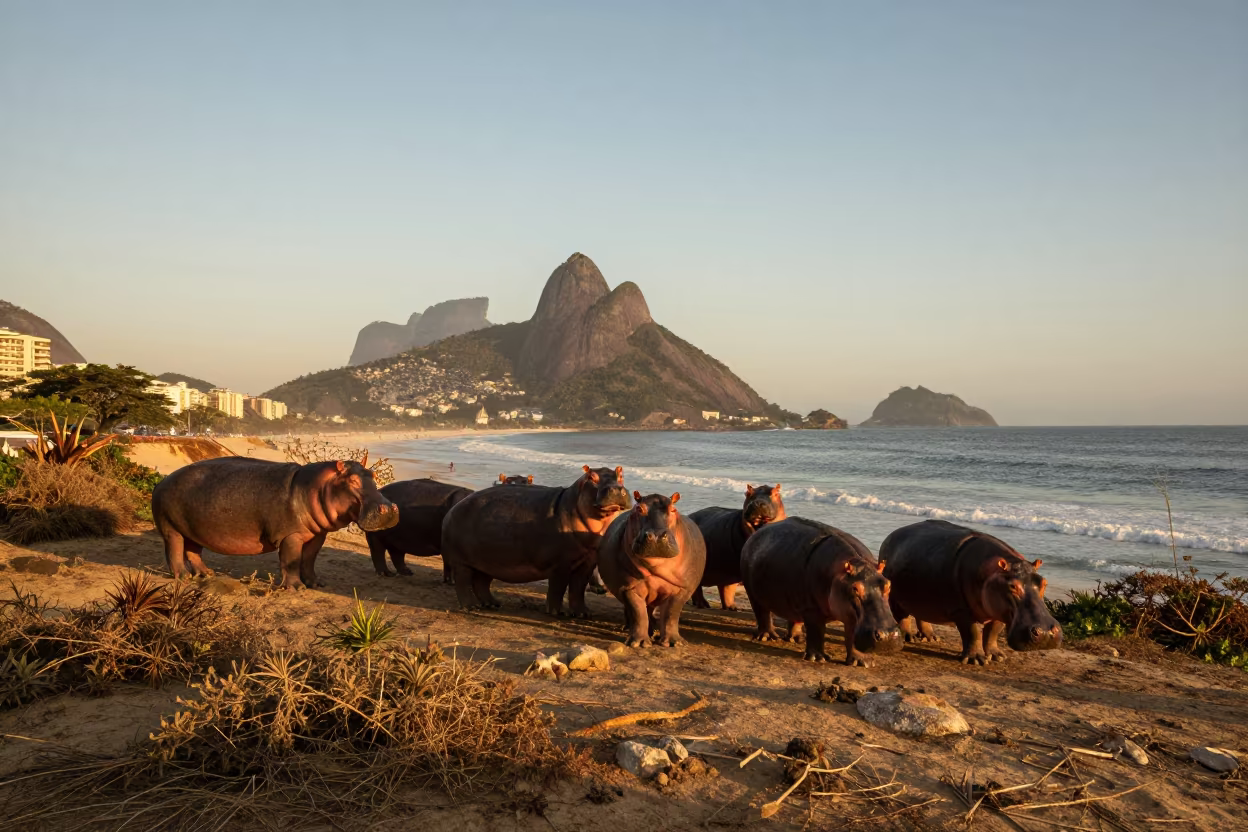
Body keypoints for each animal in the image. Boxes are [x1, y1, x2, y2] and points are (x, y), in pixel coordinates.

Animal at [152, 457, 398, 590]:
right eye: (353, 481)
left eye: (374, 475)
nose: (390, 509)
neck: (317, 487)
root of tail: (162, 481)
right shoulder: (290, 535)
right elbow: (290, 560)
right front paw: (296, 588)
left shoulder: (317, 535)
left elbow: (309, 560)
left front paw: (315, 584)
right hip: (170, 528)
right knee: (174, 550)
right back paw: (183, 577)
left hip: (193, 529)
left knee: (193, 550)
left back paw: (207, 574)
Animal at [441, 465, 630, 616]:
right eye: (591, 476)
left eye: (620, 475)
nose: (616, 489)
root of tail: (452, 510)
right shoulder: (561, 564)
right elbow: (558, 587)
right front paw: (557, 613)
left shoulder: (587, 564)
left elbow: (578, 588)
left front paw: (583, 614)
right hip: (462, 562)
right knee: (463, 583)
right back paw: (471, 607)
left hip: (487, 562)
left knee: (481, 583)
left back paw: (492, 604)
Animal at [598, 492, 707, 648]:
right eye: (639, 508)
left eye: (673, 509)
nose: (656, 536)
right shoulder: (627, 588)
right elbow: (638, 613)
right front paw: (639, 643)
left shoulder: (682, 589)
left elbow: (671, 614)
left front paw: (674, 643)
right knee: (637, 611)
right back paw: (630, 628)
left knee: (651, 610)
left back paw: (654, 631)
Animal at [740, 517, 902, 666]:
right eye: (855, 588)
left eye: (888, 584)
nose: (888, 636)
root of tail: (758, 532)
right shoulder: (812, 609)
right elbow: (817, 631)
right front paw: (817, 659)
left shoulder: (850, 615)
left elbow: (852, 634)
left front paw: (862, 662)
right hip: (753, 592)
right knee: (762, 613)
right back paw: (767, 637)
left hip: (794, 599)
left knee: (794, 617)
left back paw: (797, 639)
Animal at [880, 519, 1062, 665]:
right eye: (1012, 586)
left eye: (1044, 582)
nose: (1046, 633)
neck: (992, 572)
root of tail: (890, 536)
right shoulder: (962, 611)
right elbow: (973, 633)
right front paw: (977, 660)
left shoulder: (998, 611)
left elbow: (992, 633)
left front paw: (997, 656)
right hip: (895, 597)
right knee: (902, 616)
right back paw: (907, 637)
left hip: (922, 597)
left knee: (921, 614)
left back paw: (931, 637)